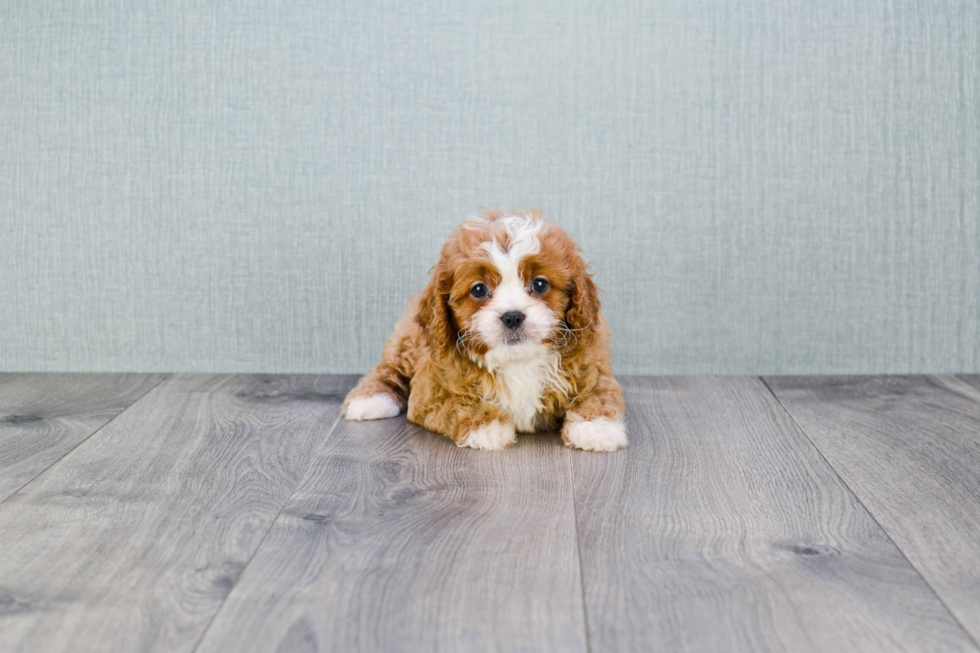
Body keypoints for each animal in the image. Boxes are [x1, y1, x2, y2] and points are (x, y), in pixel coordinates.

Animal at [344, 211, 628, 450]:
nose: (512, 317)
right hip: (408, 342)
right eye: (479, 289)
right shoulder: (429, 392)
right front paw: (486, 425)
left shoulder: (591, 363)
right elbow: (456, 404)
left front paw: (595, 426)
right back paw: (370, 399)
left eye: (539, 284)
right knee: (388, 368)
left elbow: (598, 392)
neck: (516, 360)